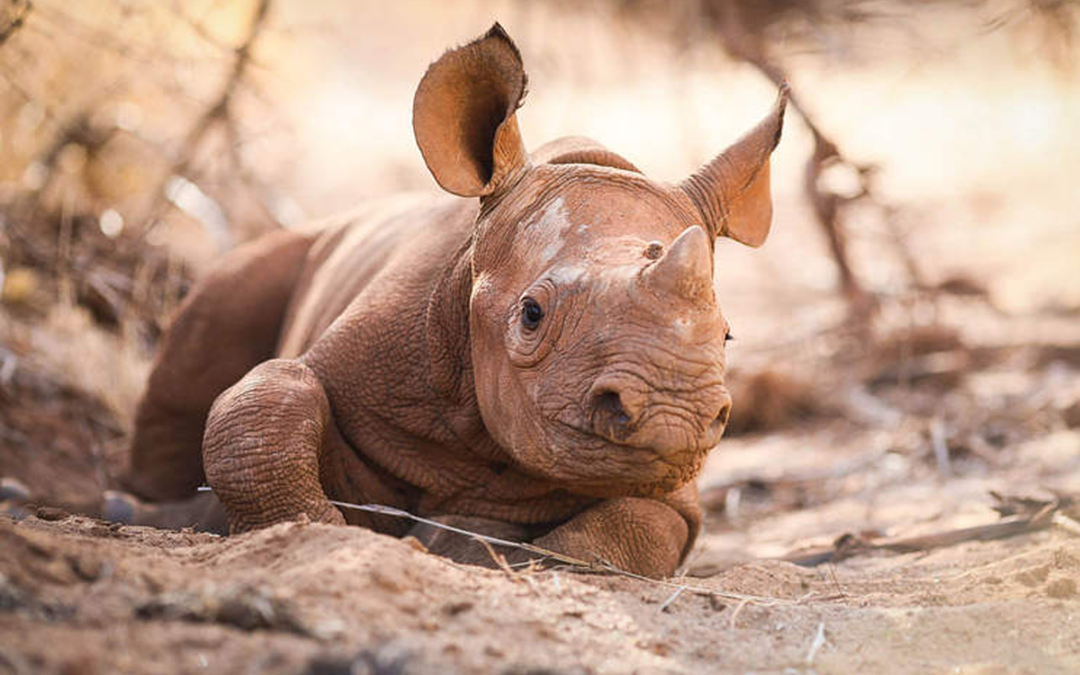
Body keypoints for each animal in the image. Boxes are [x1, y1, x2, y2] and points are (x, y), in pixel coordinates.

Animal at [118, 24, 787, 578]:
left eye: (726, 335)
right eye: (531, 315)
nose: (673, 416)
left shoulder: (670, 491)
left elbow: (643, 524)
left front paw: (492, 549)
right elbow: (265, 403)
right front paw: (333, 535)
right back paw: (140, 505)